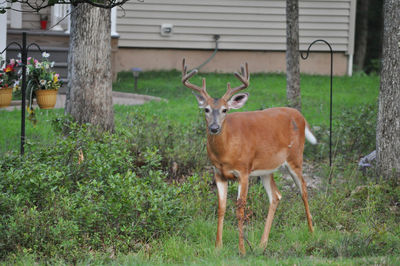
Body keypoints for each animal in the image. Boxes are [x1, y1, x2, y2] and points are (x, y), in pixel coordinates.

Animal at [181, 58, 316, 256]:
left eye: (225, 110)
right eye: (206, 109)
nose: (214, 128)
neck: (225, 151)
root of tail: (301, 116)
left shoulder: (243, 171)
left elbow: (240, 209)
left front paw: (242, 250)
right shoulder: (218, 173)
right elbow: (221, 208)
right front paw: (217, 247)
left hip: (295, 158)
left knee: (303, 189)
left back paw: (312, 232)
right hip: (266, 169)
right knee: (276, 196)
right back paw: (262, 244)